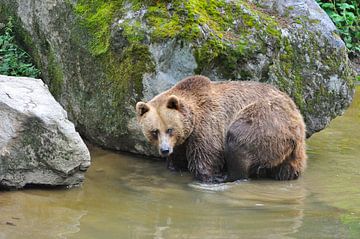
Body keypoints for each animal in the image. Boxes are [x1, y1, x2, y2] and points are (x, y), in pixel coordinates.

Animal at [135, 75, 306, 182]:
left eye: (170, 129)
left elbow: (206, 153)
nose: (164, 150)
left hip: (264, 121)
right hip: (292, 150)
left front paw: (209, 176)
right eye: (154, 131)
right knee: (289, 168)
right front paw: (175, 166)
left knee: (238, 139)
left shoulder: (207, 123)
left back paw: (227, 176)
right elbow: (177, 158)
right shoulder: (182, 141)